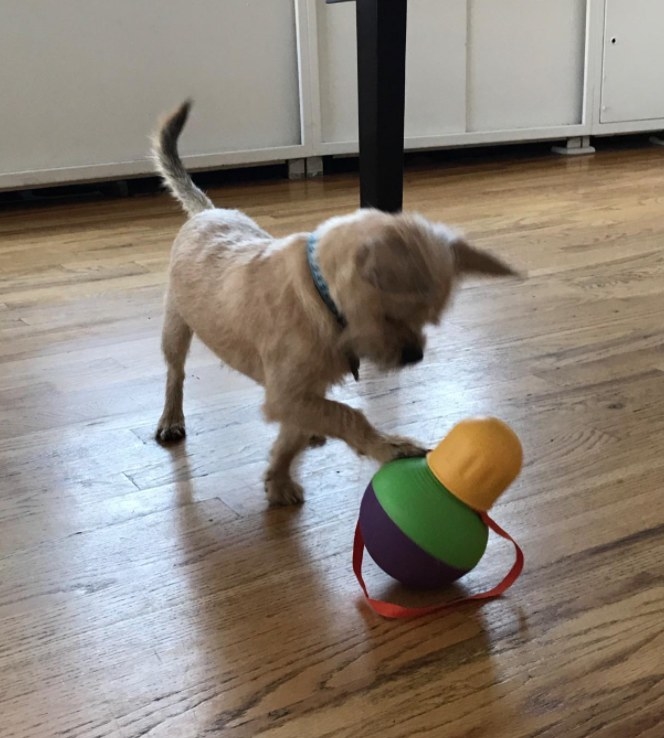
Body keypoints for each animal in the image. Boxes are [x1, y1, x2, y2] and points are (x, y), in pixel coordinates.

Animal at [152, 100, 520, 504]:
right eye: (389, 317)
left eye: (432, 320)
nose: (414, 357)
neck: (320, 300)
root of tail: (207, 211)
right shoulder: (286, 393)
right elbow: (347, 414)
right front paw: (387, 446)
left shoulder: (297, 393)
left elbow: (296, 434)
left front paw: (279, 477)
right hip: (175, 326)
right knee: (175, 373)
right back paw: (171, 418)